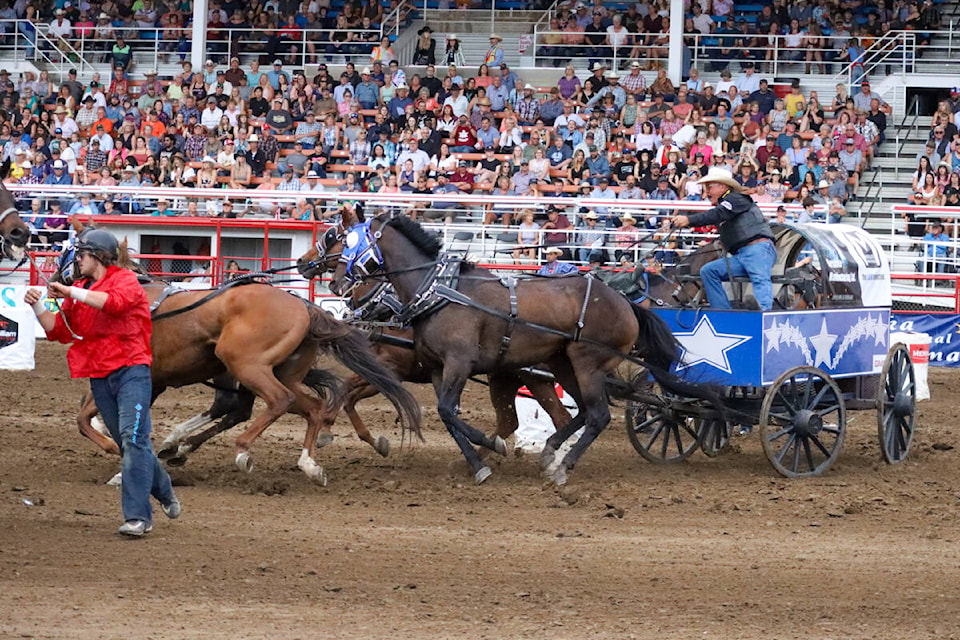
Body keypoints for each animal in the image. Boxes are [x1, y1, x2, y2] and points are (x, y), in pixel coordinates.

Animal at [330, 212, 712, 482]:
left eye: (347, 242)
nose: (336, 283)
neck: (437, 290)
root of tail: (625, 302)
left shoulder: (457, 363)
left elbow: (448, 412)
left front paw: (489, 451)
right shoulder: (438, 367)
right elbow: (447, 415)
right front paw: (477, 463)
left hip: (586, 363)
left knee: (597, 415)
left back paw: (562, 467)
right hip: (560, 364)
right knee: (578, 413)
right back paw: (549, 453)